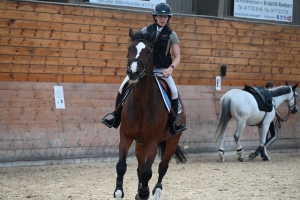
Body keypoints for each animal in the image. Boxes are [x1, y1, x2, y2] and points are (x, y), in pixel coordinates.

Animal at [113, 28, 186, 199]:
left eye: (148, 51)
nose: (133, 72)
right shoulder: (125, 137)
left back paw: (156, 191)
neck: (141, 103)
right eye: (129, 49)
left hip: (172, 141)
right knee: (140, 167)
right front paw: (119, 191)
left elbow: (148, 172)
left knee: (162, 167)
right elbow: (122, 166)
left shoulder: (153, 141)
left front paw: (144, 192)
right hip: (140, 144)